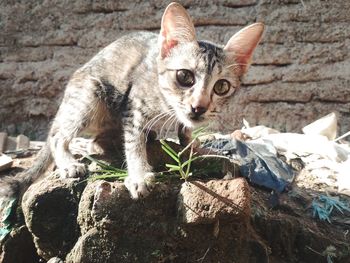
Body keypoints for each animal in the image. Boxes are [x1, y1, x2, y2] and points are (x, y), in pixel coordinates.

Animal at [0, 2, 262, 201]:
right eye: (184, 76)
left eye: (221, 86)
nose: (199, 107)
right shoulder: (133, 105)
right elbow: (134, 142)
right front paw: (138, 174)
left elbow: (185, 130)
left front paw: (195, 147)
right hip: (89, 94)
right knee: (58, 136)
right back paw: (68, 162)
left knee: (96, 141)